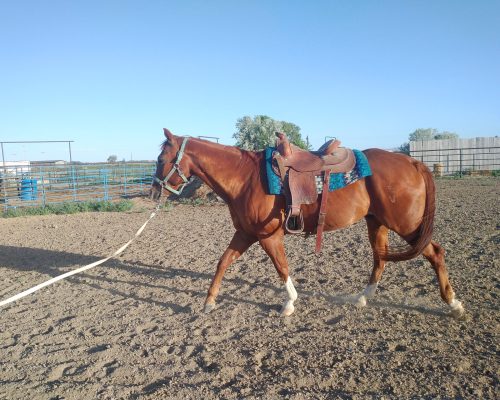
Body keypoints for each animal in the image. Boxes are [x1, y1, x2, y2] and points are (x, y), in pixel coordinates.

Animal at [149, 128, 464, 318]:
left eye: (162, 159)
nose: (153, 192)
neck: (245, 177)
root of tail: (412, 162)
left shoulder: (268, 235)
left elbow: (281, 267)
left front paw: (289, 303)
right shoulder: (245, 233)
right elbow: (223, 262)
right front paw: (209, 301)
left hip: (406, 225)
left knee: (435, 253)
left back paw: (453, 303)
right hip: (378, 223)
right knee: (380, 259)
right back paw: (363, 298)